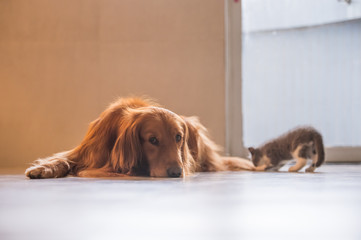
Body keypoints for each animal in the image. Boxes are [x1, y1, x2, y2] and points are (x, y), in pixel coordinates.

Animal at [24, 96, 253, 178]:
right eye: (153, 140)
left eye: (178, 137)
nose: (176, 172)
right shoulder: (84, 152)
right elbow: (61, 159)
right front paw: (43, 168)